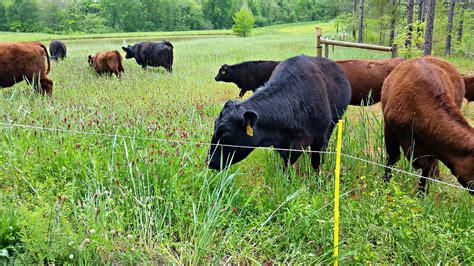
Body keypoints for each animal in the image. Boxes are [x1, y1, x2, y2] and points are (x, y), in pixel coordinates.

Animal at [207, 56, 352, 171]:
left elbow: (316, 163)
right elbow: (286, 165)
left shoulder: (319, 139)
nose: (209, 162)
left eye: (225, 136)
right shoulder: (283, 145)